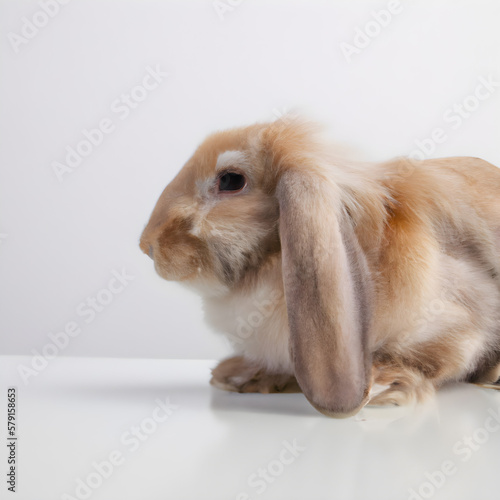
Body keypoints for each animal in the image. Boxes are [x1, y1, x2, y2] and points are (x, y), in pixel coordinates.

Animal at [139, 118, 500, 418]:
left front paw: (388, 386)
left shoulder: (456, 326)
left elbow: (437, 360)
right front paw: (240, 376)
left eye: (230, 180)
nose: (147, 245)